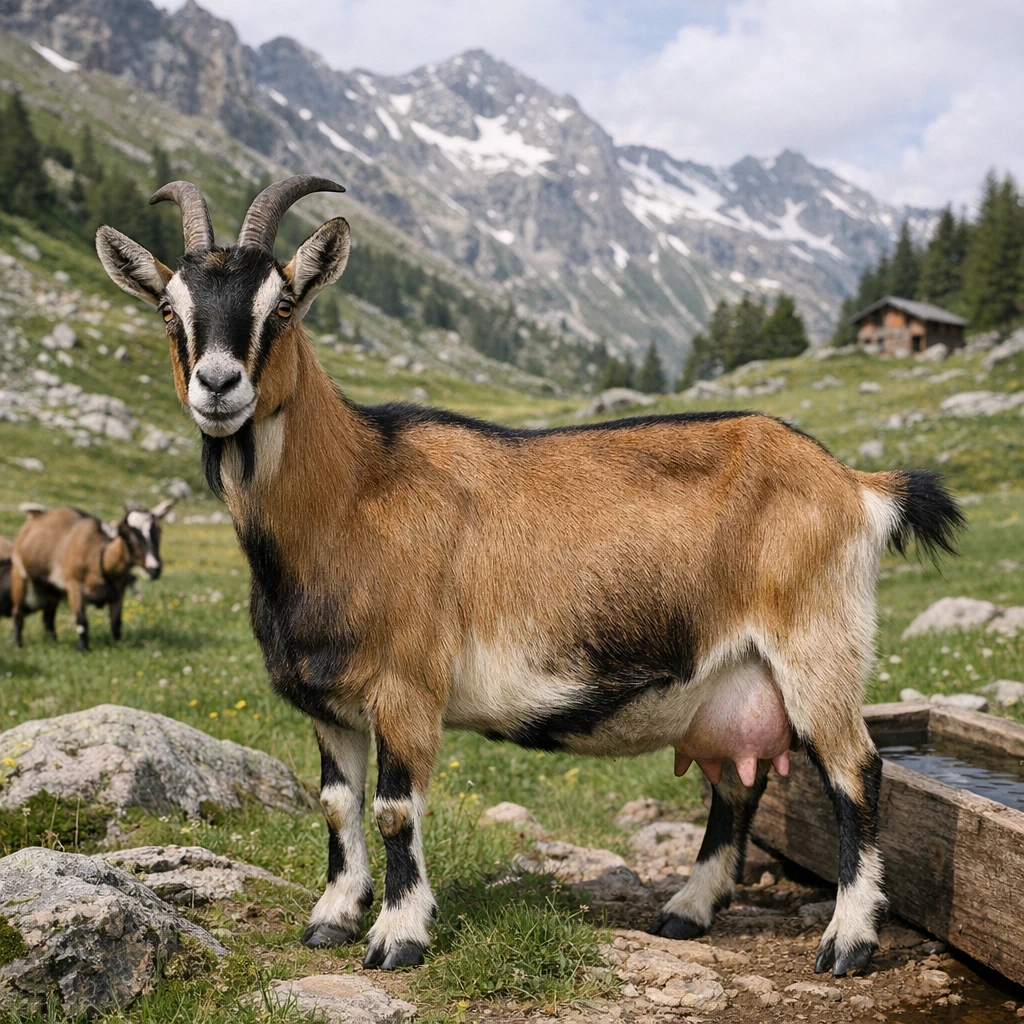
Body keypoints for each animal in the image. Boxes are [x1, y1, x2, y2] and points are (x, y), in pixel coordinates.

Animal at [10, 501, 173, 650]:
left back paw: (53, 643)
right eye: (126, 535)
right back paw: (17, 645)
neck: (97, 555)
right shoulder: (74, 585)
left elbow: (116, 623)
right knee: (18, 612)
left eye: (158, 531)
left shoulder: (119, 592)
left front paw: (119, 646)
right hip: (19, 573)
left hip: (52, 587)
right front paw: (83, 649)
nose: (154, 568)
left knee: (48, 616)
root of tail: (36, 516)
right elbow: (81, 620)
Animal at [95, 177, 963, 976]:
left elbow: (394, 809)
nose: (218, 385)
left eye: (281, 308)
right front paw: (333, 917)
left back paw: (848, 942)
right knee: (736, 786)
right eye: (169, 310)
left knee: (856, 774)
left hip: (816, 641)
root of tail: (856, 486)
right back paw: (686, 911)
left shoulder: (407, 686)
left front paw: (399, 935)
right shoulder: (327, 699)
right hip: (736, 678)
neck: (352, 494)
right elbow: (338, 804)